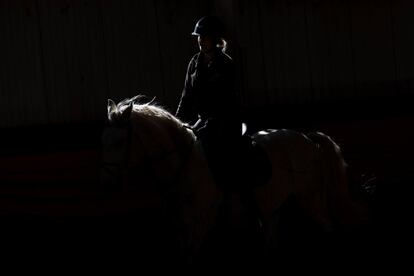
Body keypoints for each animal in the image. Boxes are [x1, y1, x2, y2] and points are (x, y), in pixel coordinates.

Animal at [102, 95, 368, 266]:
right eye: (105, 141)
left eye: (119, 142)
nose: (108, 182)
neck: (183, 164)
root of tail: (307, 138)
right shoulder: (181, 226)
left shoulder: (200, 222)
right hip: (272, 207)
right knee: (271, 241)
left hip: (309, 198)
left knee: (327, 228)